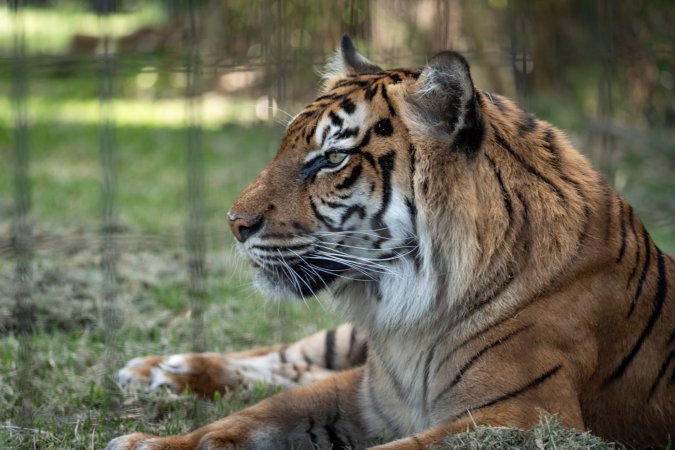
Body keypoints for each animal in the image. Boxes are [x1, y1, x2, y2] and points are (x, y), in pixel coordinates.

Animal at [107, 35, 675, 449]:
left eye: (332, 159)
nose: (233, 223)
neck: (414, 318)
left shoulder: (522, 416)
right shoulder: (367, 390)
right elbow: (255, 415)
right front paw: (149, 443)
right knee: (295, 356)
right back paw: (162, 368)